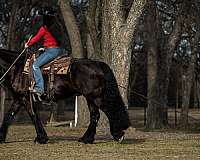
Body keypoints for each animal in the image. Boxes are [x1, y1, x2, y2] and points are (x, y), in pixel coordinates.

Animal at [0, 48, 130, 144]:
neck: (17, 68)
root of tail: (97, 63)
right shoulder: (18, 99)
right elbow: (8, 116)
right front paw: (1, 138)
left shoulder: (25, 98)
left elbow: (33, 116)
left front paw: (41, 138)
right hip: (90, 98)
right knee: (95, 115)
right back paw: (86, 139)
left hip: (96, 97)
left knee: (110, 111)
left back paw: (118, 135)